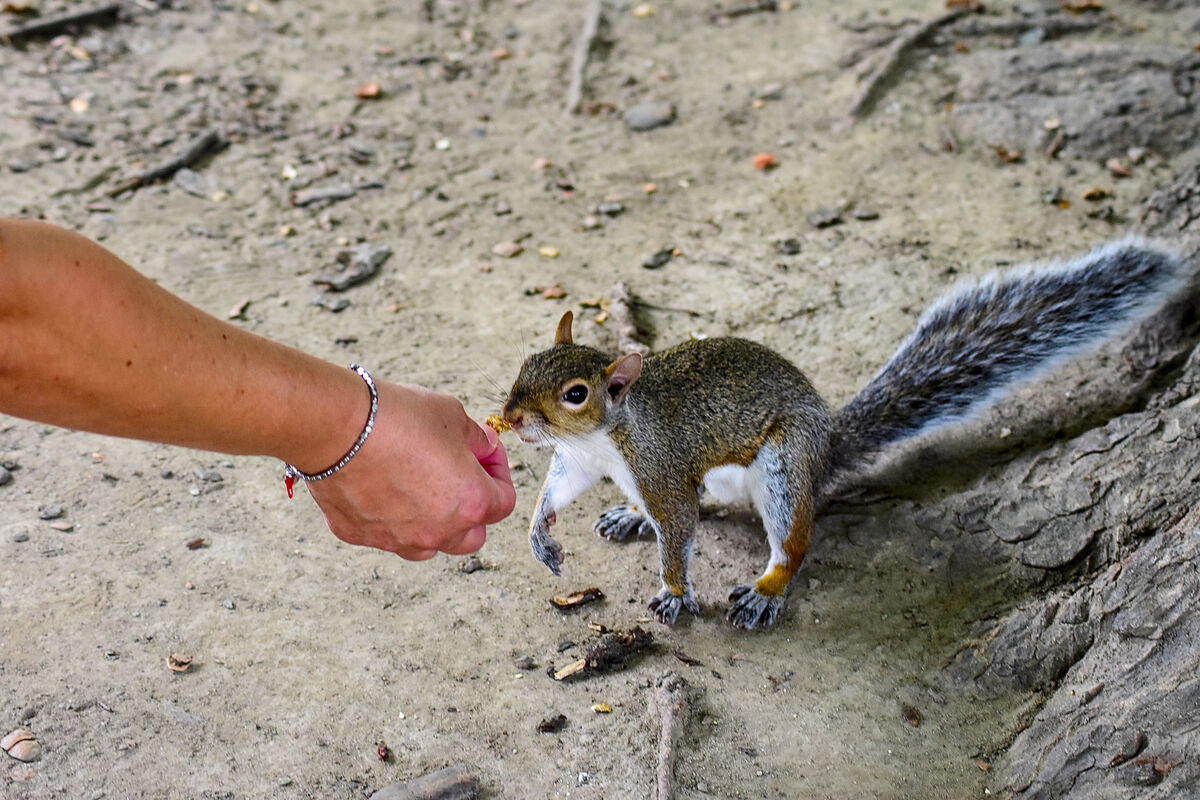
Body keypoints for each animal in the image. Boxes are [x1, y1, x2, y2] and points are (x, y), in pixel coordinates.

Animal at [499, 239, 1190, 630]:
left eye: (576, 394)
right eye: (527, 362)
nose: (513, 417)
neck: (605, 436)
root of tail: (827, 448)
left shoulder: (660, 466)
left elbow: (677, 534)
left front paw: (671, 592)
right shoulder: (581, 462)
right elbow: (560, 493)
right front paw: (540, 532)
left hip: (783, 465)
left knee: (786, 540)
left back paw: (766, 590)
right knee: (705, 507)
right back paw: (632, 517)